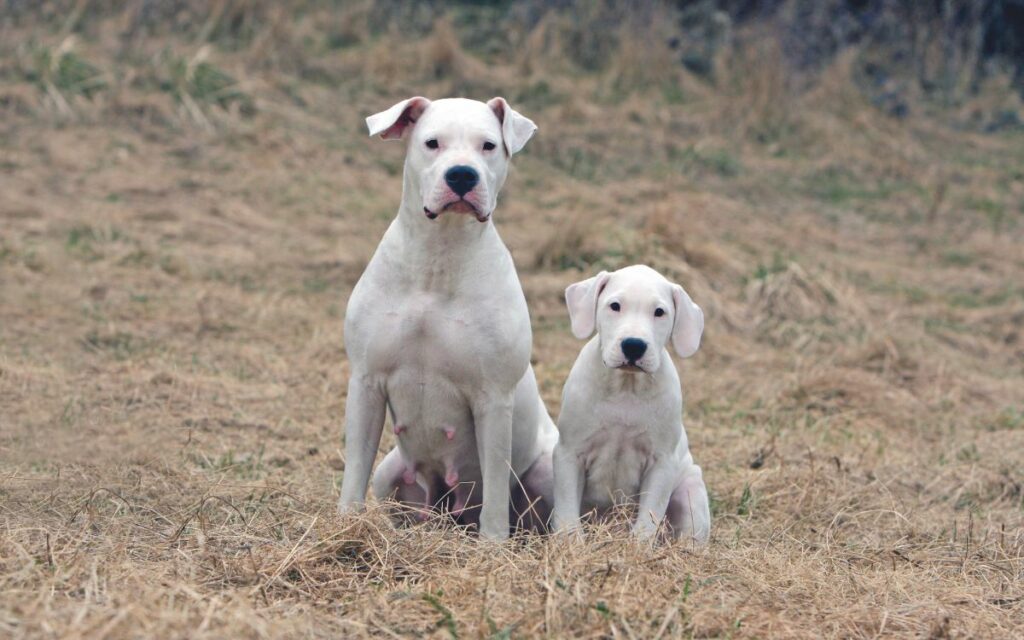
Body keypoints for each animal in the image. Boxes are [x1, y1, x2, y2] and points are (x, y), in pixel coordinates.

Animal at [337, 96, 557, 540]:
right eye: (432, 143)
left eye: (488, 145)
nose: (461, 174)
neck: (438, 257)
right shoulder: (367, 382)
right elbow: (354, 470)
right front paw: (345, 529)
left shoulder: (493, 398)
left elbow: (495, 486)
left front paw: (493, 544)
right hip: (391, 473)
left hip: (547, 469)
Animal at [552, 262, 712, 540]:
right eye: (615, 306)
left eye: (660, 312)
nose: (634, 345)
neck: (626, 388)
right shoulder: (569, 453)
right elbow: (567, 512)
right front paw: (571, 544)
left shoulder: (661, 463)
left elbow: (648, 519)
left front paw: (637, 547)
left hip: (690, 490)